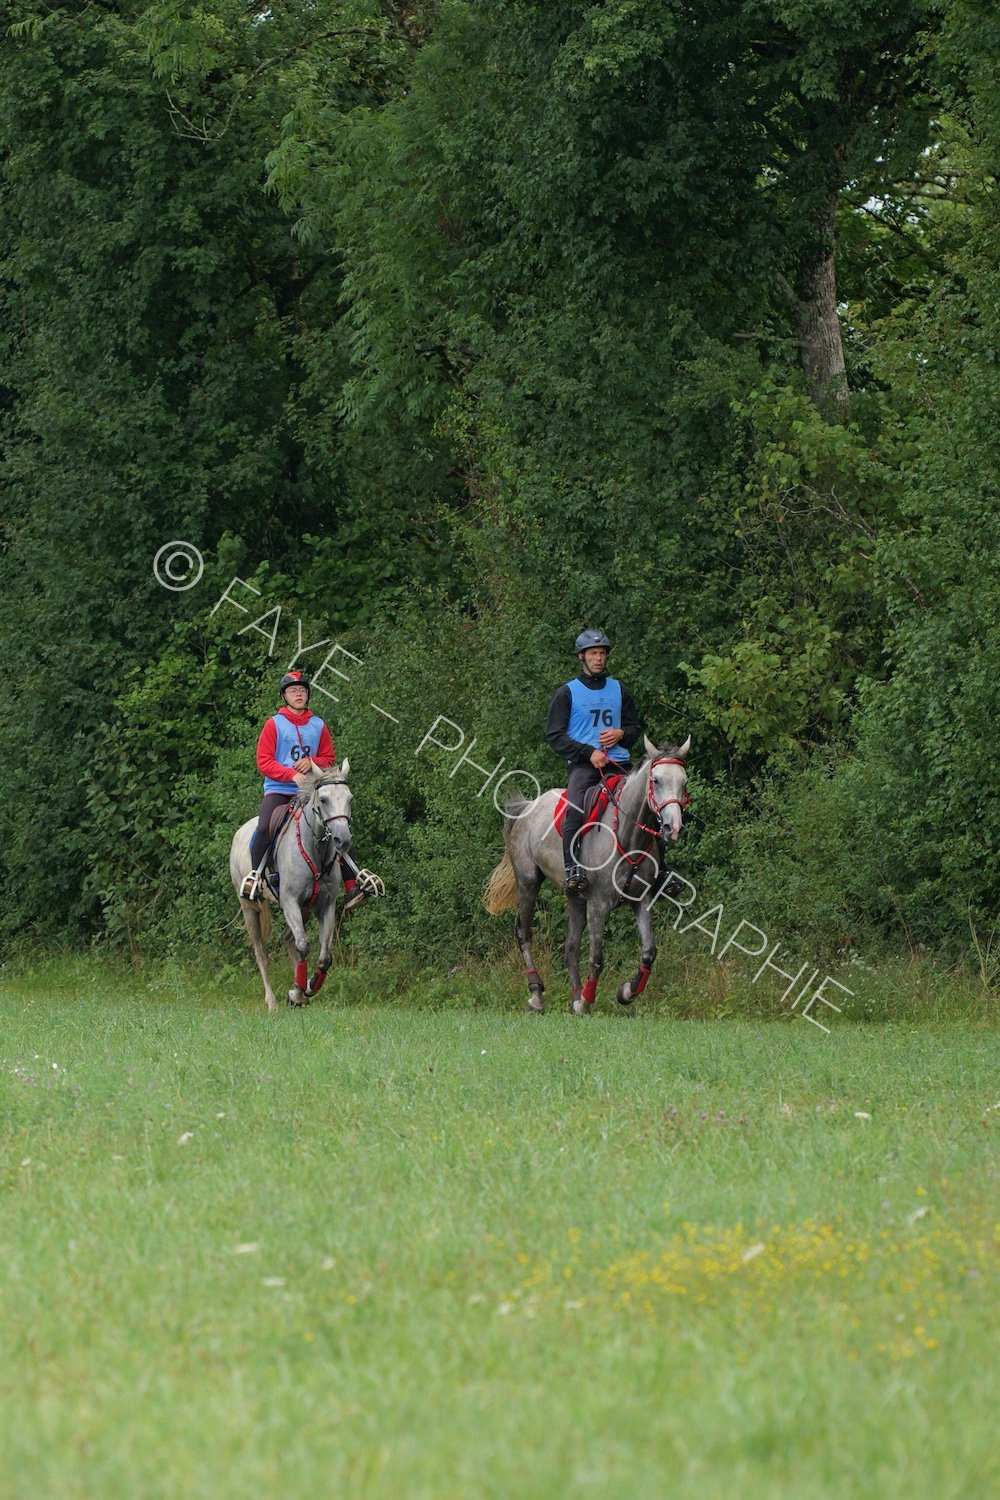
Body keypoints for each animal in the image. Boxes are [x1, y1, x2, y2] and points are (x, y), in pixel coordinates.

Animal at [229, 762, 354, 1011]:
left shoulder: (326, 906)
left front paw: (307, 988)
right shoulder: (290, 903)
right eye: (323, 799)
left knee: (287, 938)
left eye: (349, 799)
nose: (342, 840)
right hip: (249, 907)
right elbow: (303, 945)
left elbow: (325, 958)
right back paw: (272, 1002)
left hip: (305, 909)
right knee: (261, 951)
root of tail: (240, 832)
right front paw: (296, 992)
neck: (314, 851)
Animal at [483, 735, 690, 1015]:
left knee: (570, 946)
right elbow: (597, 958)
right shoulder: (598, 905)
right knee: (523, 932)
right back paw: (537, 995)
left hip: (575, 896)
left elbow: (649, 951)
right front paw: (588, 1001)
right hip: (528, 882)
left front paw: (625, 993)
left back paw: (574, 996)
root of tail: (529, 806)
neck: (627, 835)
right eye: (656, 780)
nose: (673, 828)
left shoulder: (641, 901)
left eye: (684, 782)